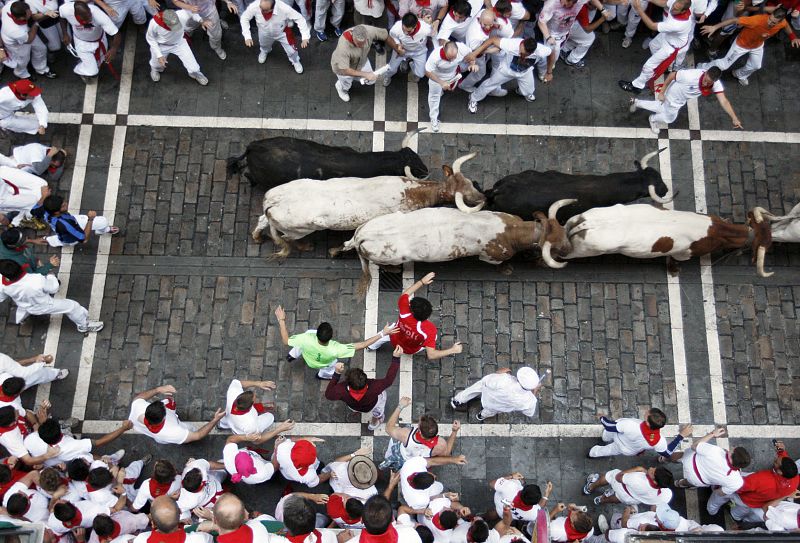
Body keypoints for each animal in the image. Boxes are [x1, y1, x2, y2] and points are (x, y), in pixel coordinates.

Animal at [225, 130, 432, 191]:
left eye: (416, 155)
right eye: (413, 164)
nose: (426, 170)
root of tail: (253, 146)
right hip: (261, 177)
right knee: (247, 174)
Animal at [253, 153, 484, 260]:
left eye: (470, 182)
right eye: (465, 193)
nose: (483, 196)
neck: (412, 191)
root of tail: (272, 201)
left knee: (261, 220)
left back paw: (256, 237)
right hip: (299, 230)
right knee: (286, 237)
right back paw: (305, 246)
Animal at [336, 198, 576, 296]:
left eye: (561, 226)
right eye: (556, 245)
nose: (569, 247)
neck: (511, 230)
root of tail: (362, 235)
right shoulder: (491, 256)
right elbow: (499, 263)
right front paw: (507, 269)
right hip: (389, 256)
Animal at [548, 204, 780, 278]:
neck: (715, 231)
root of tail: (587, 223)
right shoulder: (683, 253)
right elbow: (674, 259)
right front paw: (673, 270)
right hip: (582, 250)